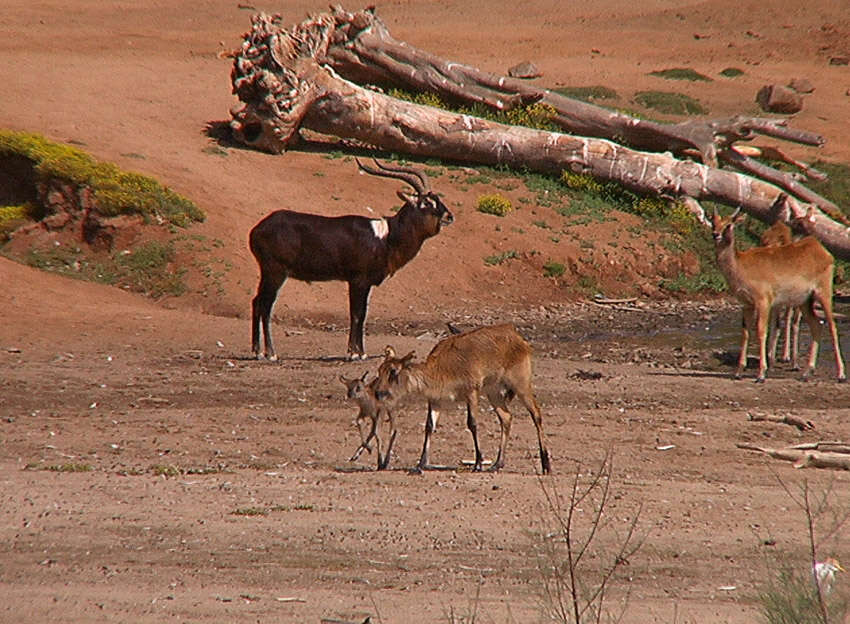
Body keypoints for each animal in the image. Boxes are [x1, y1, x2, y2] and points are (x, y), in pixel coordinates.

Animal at [248, 158, 454, 358]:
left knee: (256, 301)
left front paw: (358, 352)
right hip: (275, 273)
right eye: (426, 202)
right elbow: (357, 313)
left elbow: (361, 314)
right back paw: (271, 354)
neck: (386, 237)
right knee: (265, 305)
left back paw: (257, 351)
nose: (449, 216)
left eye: (437, 199)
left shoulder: (364, 283)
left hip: (268, 274)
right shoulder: (358, 281)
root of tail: (258, 228)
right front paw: (355, 353)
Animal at [372, 324, 548, 476]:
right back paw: (497, 464)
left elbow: (472, 424)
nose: (379, 393)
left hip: (521, 384)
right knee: (506, 417)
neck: (442, 369)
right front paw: (420, 465)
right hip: (493, 392)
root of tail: (519, 339)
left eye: (393, 372)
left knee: (536, 414)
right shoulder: (435, 401)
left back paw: (546, 465)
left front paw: (478, 464)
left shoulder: (471, 392)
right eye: (380, 370)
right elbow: (429, 426)